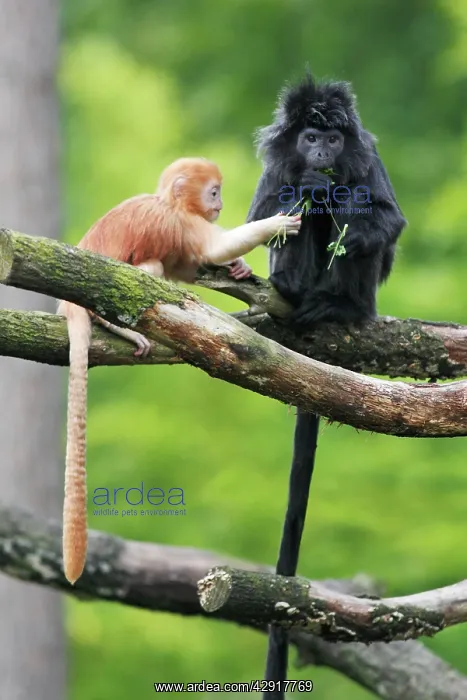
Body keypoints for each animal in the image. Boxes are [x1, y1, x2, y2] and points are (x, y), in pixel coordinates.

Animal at [57, 157, 302, 586]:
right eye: (214, 191)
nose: (219, 204)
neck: (168, 203)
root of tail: (71, 307)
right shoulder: (180, 223)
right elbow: (210, 247)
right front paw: (276, 225)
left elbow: (190, 267)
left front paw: (239, 267)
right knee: (150, 267)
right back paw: (116, 324)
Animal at [246, 75, 406, 699]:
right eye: (310, 137)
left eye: (333, 138)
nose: (320, 154)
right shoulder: (277, 173)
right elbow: (264, 213)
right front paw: (309, 186)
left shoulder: (368, 161)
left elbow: (383, 217)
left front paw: (334, 191)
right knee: (296, 221)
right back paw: (292, 285)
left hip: (363, 295)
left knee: (353, 228)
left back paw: (337, 304)